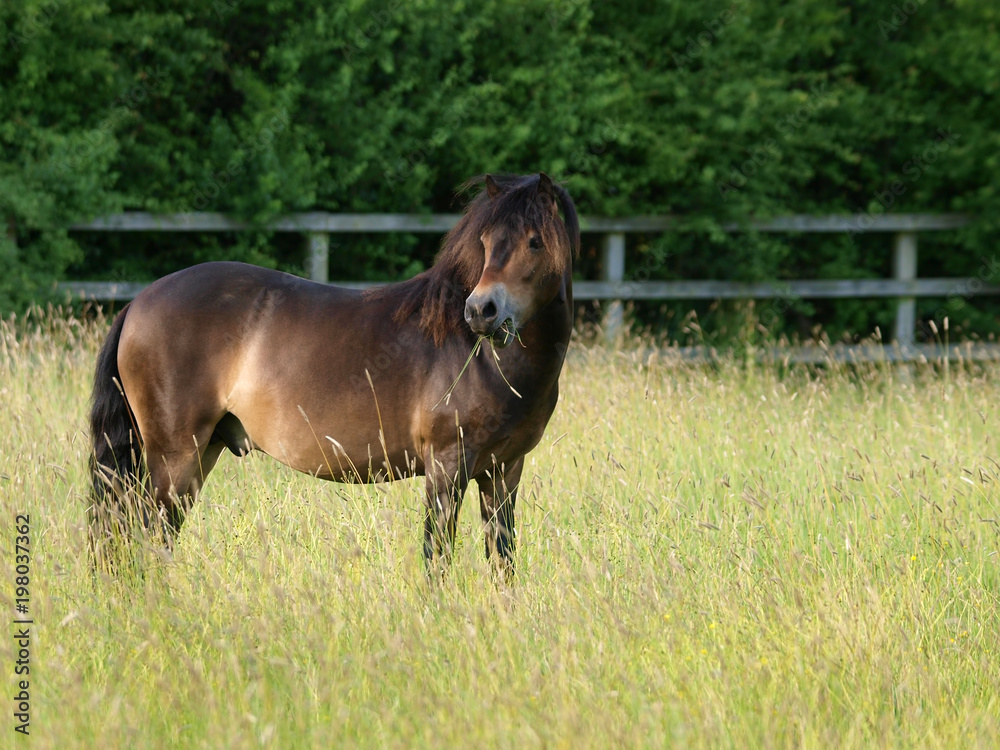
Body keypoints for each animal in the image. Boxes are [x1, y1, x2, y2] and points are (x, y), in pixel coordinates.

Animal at [88, 172, 580, 577]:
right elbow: (436, 559)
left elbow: (503, 561)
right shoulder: (446, 467)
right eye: (486, 240)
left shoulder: (504, 472)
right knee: (145, 536)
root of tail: (138, 302)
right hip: (174, 457)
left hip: (199, 453)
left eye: (535, 241)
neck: (479, 357)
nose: (480, 311)